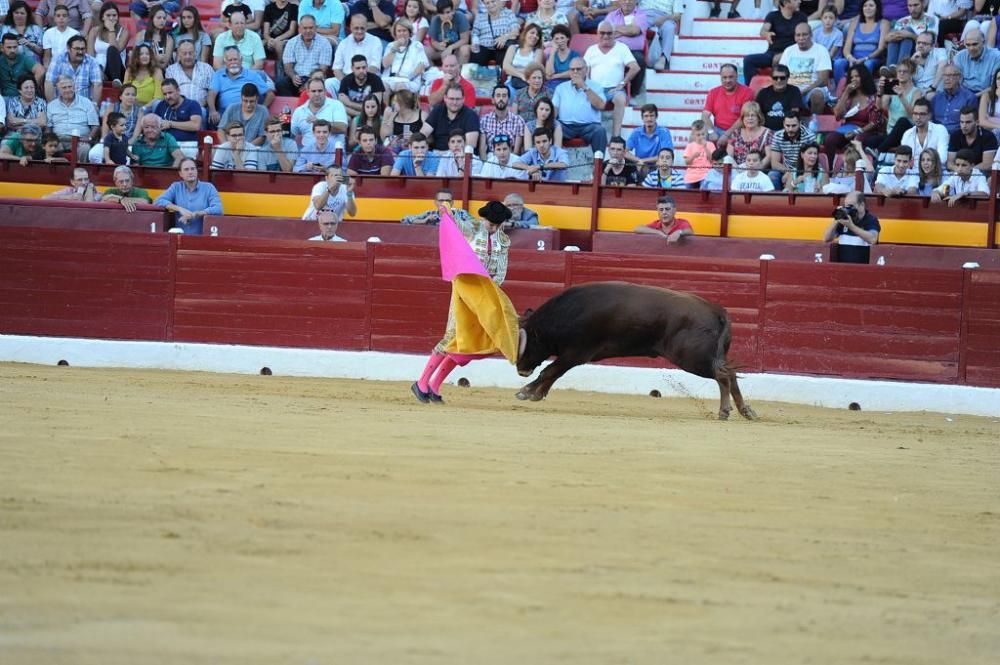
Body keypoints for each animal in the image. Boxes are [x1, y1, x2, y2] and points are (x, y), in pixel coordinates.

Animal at [516, 282, 756, 420]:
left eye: (528, 343)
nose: (520, 369)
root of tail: (716, 310)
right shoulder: (572, 355)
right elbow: (554, 373)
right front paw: (536, 394)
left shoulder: (576, 352)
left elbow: (549, 371)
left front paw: (525, 392)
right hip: (711, 357)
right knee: (730, 374)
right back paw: (746, 411)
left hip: (692, 358)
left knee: (723, 375)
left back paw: (724, 411)